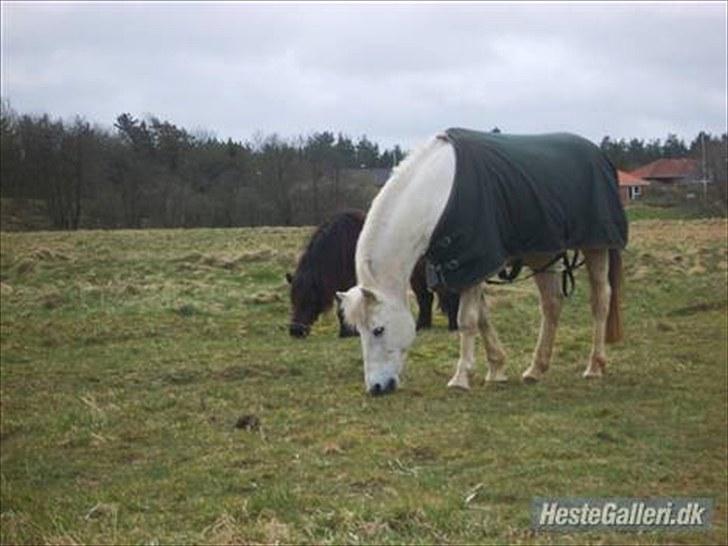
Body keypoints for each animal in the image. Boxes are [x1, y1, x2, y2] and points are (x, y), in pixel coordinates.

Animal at [284, 208, 456, 336]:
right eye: (292, 298)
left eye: (309, 298)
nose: (295, 331)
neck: (342, 244)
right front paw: (345, 332)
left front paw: (351, 331)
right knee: (425, 298)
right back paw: (422, 326)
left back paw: (452, 326)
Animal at [338, 130, 628, 394]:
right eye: (359, 331)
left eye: (378, 330)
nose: (376, 387)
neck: (437, 196)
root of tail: (599, 156)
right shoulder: (469, 269)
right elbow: (483, 318)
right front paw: (497, 369)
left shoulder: (474, 265)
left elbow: (467, 320)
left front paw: (460, 378)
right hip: (542, 252)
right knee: (552, 303)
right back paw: (536, 369)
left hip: (596, 247)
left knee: (600, 299)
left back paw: (594, 366)